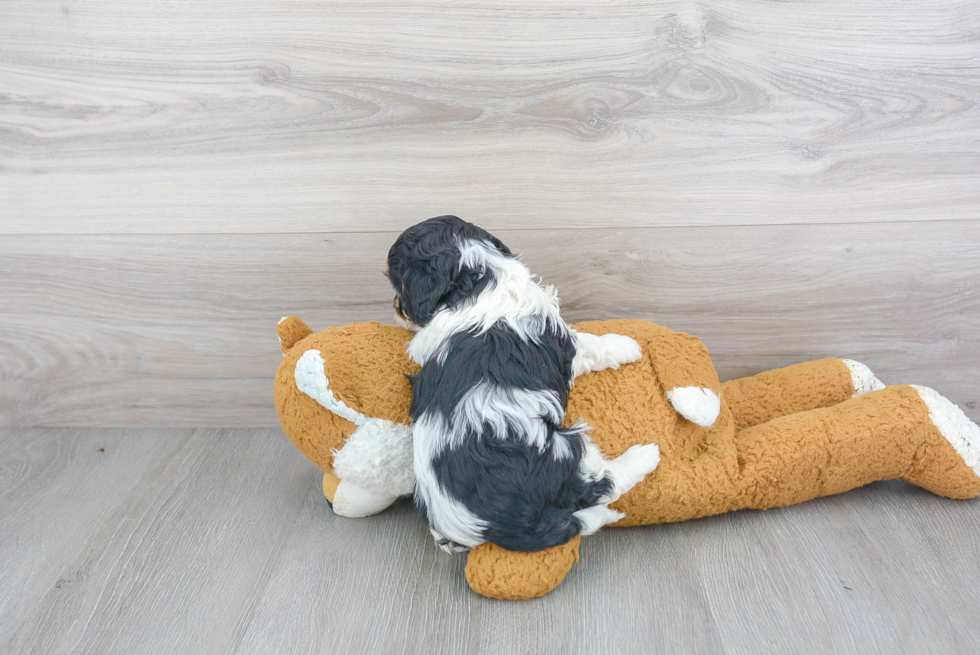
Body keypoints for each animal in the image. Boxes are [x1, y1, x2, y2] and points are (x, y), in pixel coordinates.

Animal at [386, 217, 664, 552]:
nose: (395, 308)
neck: (478, 279)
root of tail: (492, 528)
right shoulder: (564, 342)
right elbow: (595, 345)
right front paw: (627, 345)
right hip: (560, 455)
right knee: (600, 482)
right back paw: (645, 456)